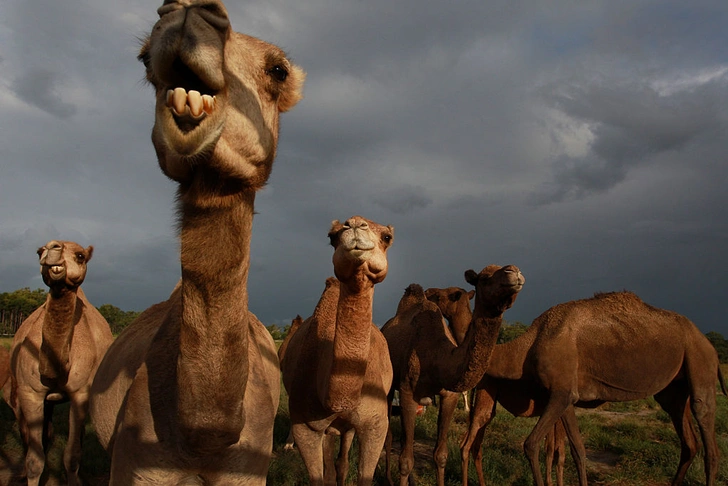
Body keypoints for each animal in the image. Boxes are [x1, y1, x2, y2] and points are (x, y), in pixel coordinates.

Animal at [3, 241, 114, 484]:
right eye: (38, 251)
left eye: (80, 256)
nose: (52, 248)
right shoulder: (30, 392)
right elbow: (35, 459)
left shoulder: (80, 393)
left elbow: (71, 456)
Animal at [89, 1, 304, 484]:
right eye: (144, 60)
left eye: (278, 70)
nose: (188, 15)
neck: (203, 439)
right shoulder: (134, 466)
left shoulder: (248, 470)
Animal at [278, 217, 396, 486]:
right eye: (332, 237)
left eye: (387, 237)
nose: (355, 225)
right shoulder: (307, 427)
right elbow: (319, 476)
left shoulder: (376, 424)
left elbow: (362, 475)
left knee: (341, 460)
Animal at [382, 266, 524, 486]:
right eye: (484, 278)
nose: (514, 271)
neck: (437, 355)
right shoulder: (407, 392)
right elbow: (405, 460)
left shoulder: (449, 395)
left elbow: (441, 454)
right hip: (389, 385)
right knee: (388, 435)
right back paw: (388, 478)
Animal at [512, 290, 728, 484]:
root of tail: (709, 345)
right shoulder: (562, 391)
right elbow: (575, 446)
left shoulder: (561, 388)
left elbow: (531, 443)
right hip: (675, 383)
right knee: (685, 431)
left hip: (699, 358)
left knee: (703, 413)